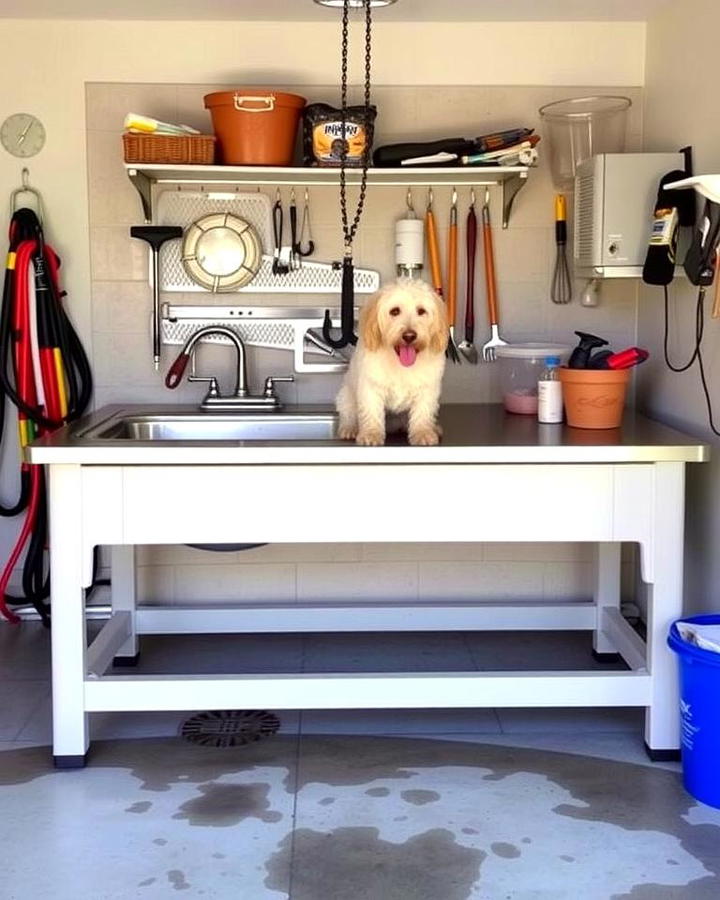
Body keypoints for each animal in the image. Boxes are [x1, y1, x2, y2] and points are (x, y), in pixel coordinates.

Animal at [336, 278, 448, 446]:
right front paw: (371, 434)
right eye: (394, 311)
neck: (401, 364)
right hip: (346, 396)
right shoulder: (371, 388)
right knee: (348, 414)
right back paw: (349, 428)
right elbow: (371, 412)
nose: (409, 336)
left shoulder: (427, 390)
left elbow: (423, 412)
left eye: (421, 311)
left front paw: (422, 432)